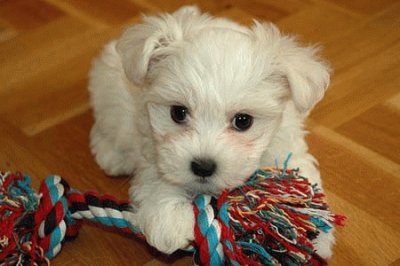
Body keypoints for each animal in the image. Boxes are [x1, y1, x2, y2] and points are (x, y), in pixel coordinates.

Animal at [88, 5, 334, 260]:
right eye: (178, 112)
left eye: (243, 121)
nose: (203, 166)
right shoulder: (154, 145)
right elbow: (157, 174)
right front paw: (170, 219)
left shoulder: (286, 145)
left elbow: (301, 178)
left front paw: (314, 233)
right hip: (110, 92)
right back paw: (112, 154)